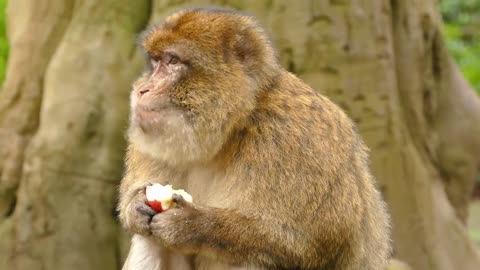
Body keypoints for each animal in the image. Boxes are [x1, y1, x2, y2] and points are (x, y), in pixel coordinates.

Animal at [118, 6, 392, 270]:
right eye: (156, 63)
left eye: (173, 61)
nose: (143, 90)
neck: (232, 128)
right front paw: (135, 206)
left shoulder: (294, 138)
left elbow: (314, 243)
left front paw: (191, 224)